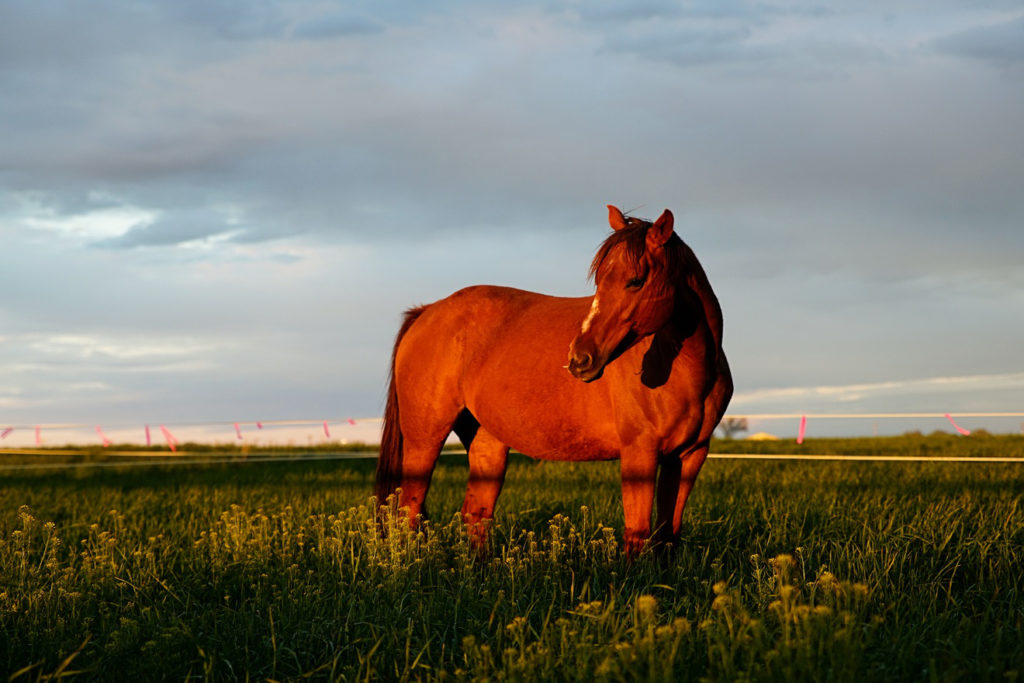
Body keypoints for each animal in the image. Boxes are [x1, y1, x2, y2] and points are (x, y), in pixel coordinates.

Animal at [376, 202, 737, 557]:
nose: (579, 359)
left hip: (486, 442)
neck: (685, 370)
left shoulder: (689, 456)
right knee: (410, 510)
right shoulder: (640, 454)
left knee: (475, 515)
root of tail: (426, 312)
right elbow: (637, 536)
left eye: (635, 281)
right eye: (599, 281)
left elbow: (668, 535)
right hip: (424, 441)